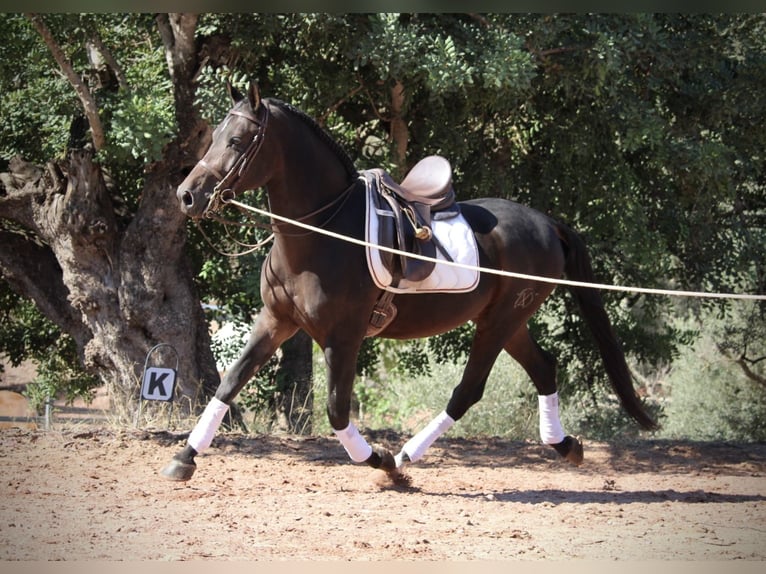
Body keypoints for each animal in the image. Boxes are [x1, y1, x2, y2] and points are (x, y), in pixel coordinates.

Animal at [161, 82, 656, 483]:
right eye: (213, 137)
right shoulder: (276, 321)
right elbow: (228, 384)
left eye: (237, 140)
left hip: (498, 322)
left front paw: (379, 461)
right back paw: (564, 445)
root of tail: (547, 223)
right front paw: (184, 458)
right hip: (509, 320)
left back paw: (405, 457)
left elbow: (336, 410)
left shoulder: (344, 336)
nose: (187, 196)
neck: (322, 229)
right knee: (544, 368)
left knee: (468, 390)